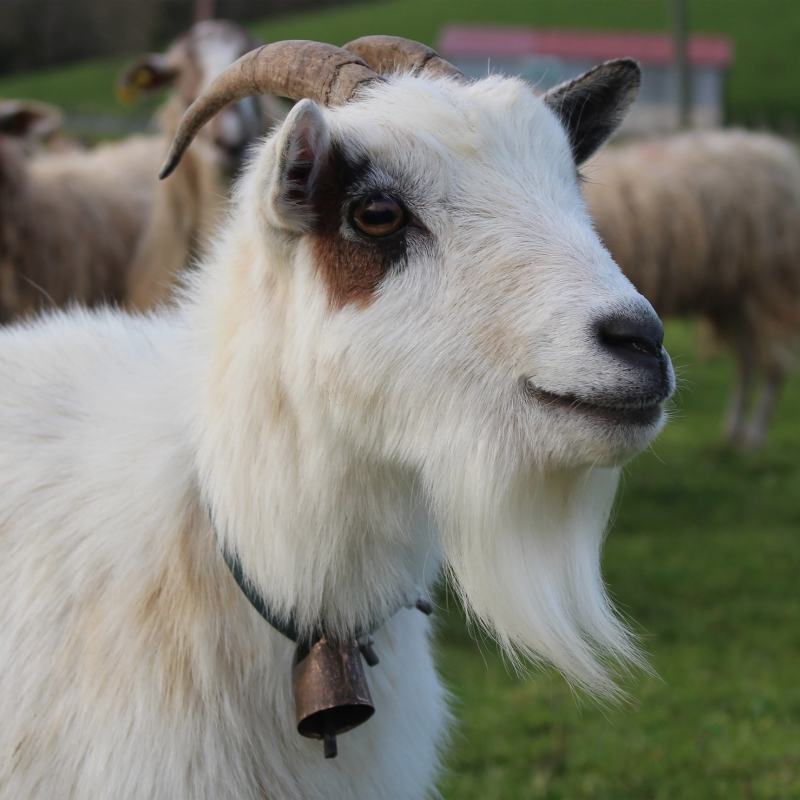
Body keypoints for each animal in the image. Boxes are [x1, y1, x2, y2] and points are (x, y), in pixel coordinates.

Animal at [580, 128, 800, 446]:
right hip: (733, 298)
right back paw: (733, 430)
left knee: (775, 366)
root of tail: (779, 152)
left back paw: (753, 437)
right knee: (748, 361)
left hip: (767, 285)